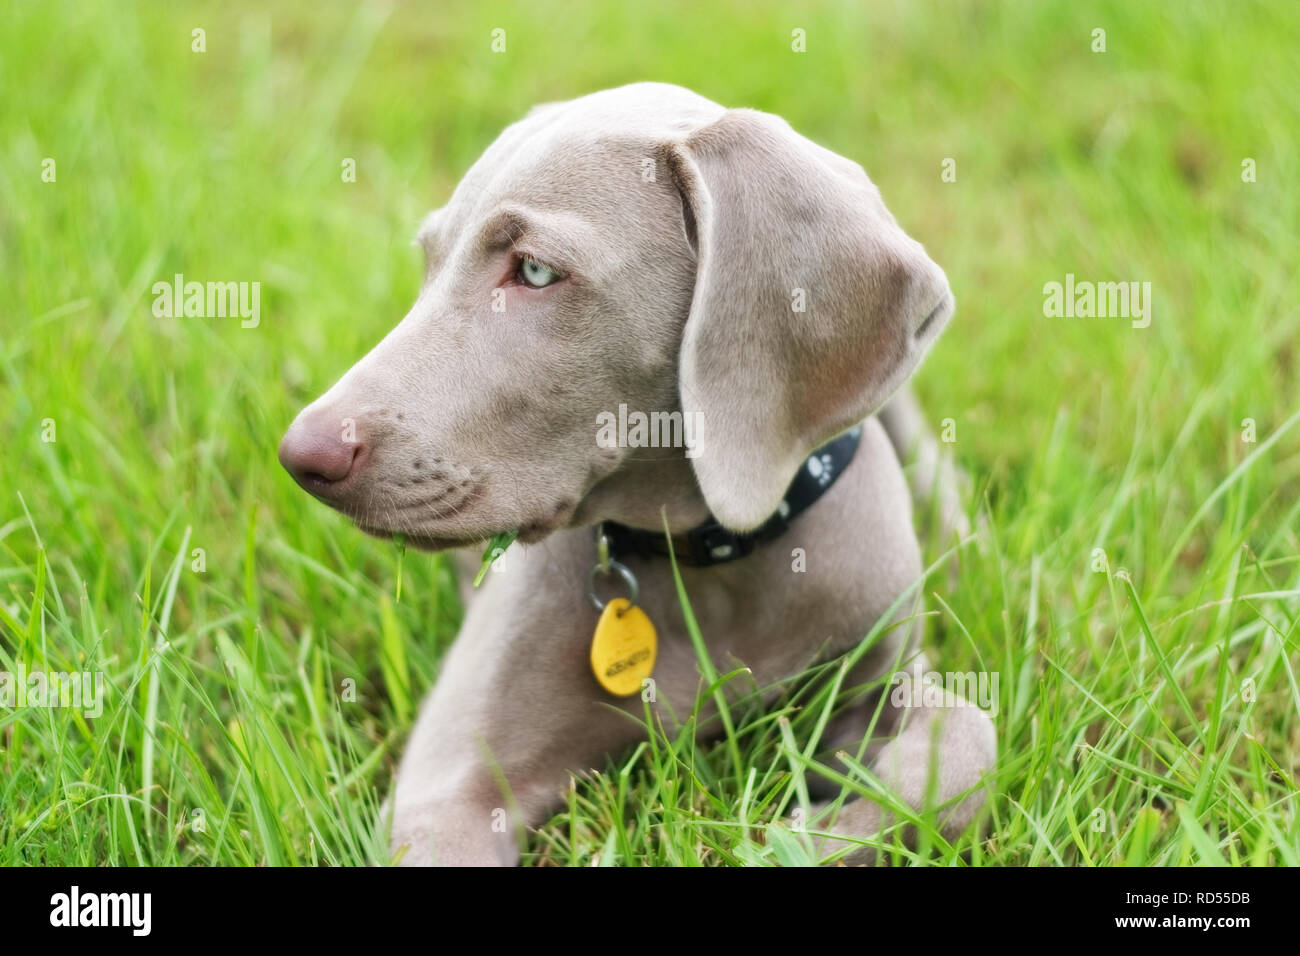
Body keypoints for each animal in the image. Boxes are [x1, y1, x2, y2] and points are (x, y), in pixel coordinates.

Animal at [282, 82, 993, 868]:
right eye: (430, 262)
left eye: (534, 270)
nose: (301, 456)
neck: (708, 558)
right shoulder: (448, 787)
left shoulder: (879, 666)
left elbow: (971, 742)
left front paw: (818, 829)